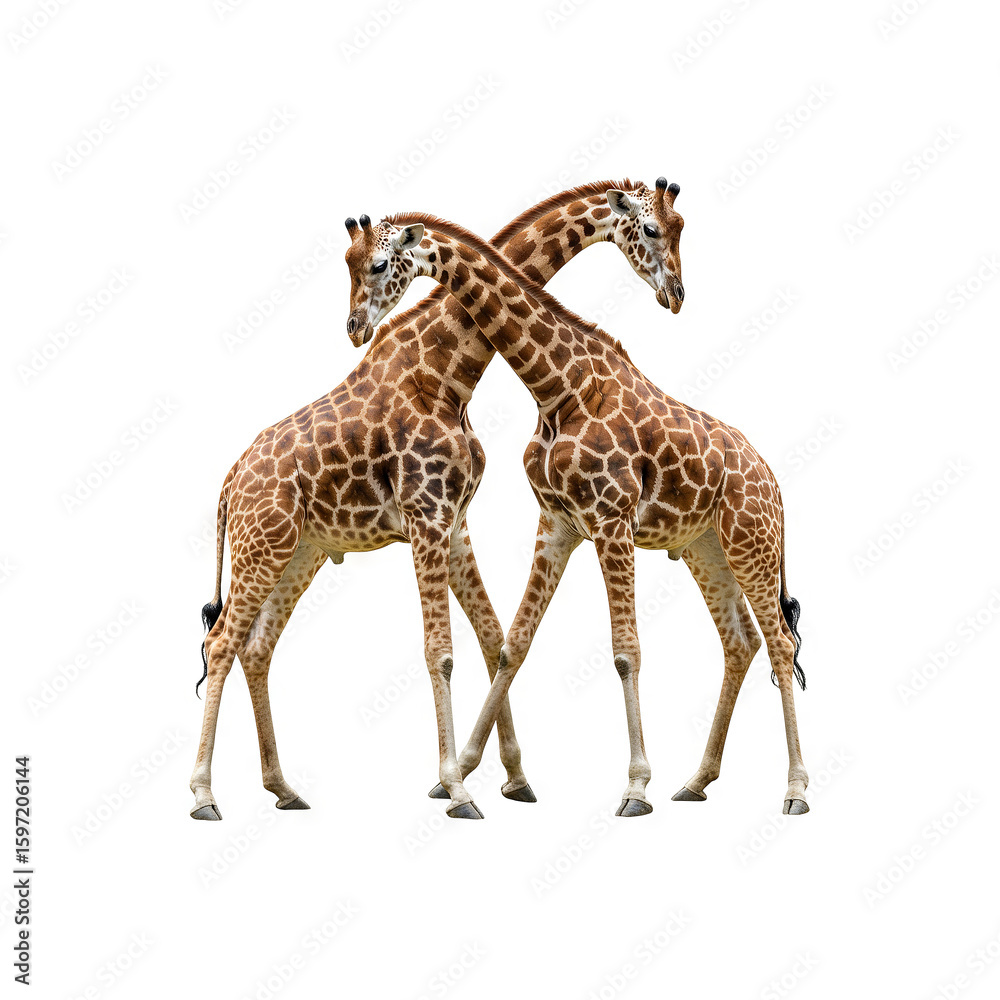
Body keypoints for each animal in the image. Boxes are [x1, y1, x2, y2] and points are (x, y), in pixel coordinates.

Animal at [189, 179, 686, 822]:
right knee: (221, 640)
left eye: (678, 228)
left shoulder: (453, 519)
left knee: (256, 646)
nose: (676, 294)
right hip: (262, 546)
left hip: (299, 552)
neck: (450, 373)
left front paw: (511, 777)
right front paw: (456, 787)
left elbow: (493, 636)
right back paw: (203, 794)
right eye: (651, 230)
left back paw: (284, 788)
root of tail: (228, 486)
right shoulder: (427, 514)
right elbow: (439, 651)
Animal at [343, 199, 809, 818]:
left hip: (750, 543)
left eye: (377, 264)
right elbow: (514, 643)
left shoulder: (612, 520)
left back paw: (796, 790)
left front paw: (635, 788)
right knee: (742, 642)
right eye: (350, 262)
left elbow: (626, 651)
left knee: (781, 644)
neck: (558, 386)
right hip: (707, 548)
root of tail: (774, 482)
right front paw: (463, 777)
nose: (355, 328)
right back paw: (696, 780)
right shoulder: (559, 523)